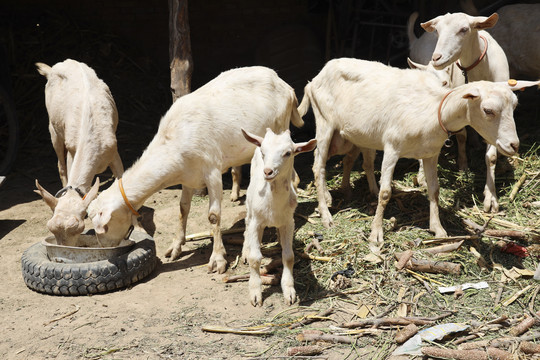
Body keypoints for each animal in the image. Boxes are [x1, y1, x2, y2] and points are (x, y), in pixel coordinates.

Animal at [35, 59, 123, 248]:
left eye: (78, 228)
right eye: (50, 228)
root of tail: (54, 68)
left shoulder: (113, 151)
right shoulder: (72, 149)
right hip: (53, 129)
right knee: (60, 163)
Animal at [86, 66, 302, 272]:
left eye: (104, 227)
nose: (107, 252)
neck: (173, 142)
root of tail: (286, 86)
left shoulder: (212, 171)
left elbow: (213, 216)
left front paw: (217, 259)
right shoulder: (188, 176)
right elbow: (182, 208)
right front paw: (176, 247)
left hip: (281, 131)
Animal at [242, 128, 316, 306]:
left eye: (288, 153)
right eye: (263, 152)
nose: (268, 171)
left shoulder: (289, 222)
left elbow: (288, 257)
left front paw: (289, 291)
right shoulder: (256, 222)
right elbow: (255, 258)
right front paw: (255, 293)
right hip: (249, 207)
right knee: (246, 225)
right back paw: (245, 250)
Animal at [300, 59, 524, 250]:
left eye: (515, 106)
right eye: (488, 110)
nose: (514, 145)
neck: (434, 110)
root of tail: (314, 79)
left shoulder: (431, 154)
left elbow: (434, 190)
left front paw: (438, 228)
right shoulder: (392, 147)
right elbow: (386, 193)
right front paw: (376, 234)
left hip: (356, 136)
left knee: (355, 162)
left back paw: (348, 190)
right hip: (325, 123)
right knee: (318, 167)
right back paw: (326, 214)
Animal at [422, 12, 510, 212]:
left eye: (464, 29)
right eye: (437, 31)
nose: (436, 58)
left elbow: (491, 157)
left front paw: (491, 198)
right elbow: (461, 136)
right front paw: (463, 164)